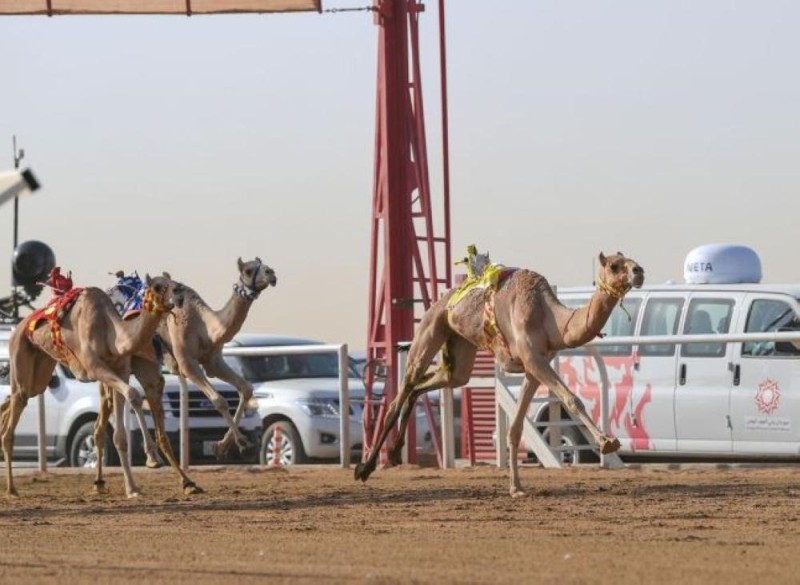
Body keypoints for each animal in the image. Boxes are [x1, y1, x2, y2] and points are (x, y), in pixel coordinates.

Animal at [0, 276, 175, 496]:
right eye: (158, 287)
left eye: (172, 284)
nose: (174, 300)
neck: (111, 333)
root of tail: (18, 328)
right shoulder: (95, 367)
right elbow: (133, 394)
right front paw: (152, 459)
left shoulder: (121, 371)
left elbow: (121, 431)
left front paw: (133, 487)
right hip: (20, 354)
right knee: (16, 407)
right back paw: (11, 489)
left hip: (41, 372)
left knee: (13, 400)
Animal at [92, 258, 276, 490]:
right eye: (248, 270)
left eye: (265, 265)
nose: (271, 274)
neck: (204, 325)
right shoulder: (187, 363)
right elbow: (219, 400)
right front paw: (243, 445)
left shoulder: (213, 361)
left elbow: (246, 388)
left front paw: (222, 447)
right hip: (119, 360)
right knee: (115, 401)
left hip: (141, 363)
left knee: (138, 395)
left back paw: (144, 463)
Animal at [356, 249, 644, 496]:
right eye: (614, 265)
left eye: (631, 259)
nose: (639, 271)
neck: (550, 319)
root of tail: (444, 299)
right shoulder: (533, 359)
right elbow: (572, 398)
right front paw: (607, 441)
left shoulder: (534, 367)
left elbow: (515, 429)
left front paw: (516, 488)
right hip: (429, 329)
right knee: (405, 387)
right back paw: (365, 468)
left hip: (459, 352)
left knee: (429, 384)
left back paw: (394, 454)